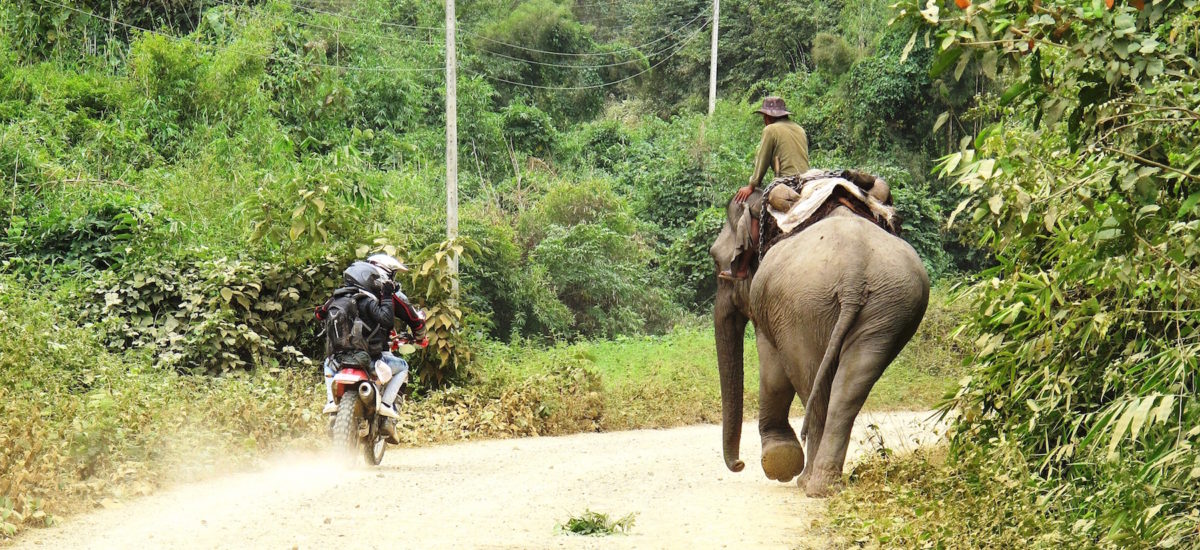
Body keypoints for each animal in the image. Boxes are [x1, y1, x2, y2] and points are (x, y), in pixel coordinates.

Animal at [705, 189, 931, 499]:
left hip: (803, 308)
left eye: (717, 261)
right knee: (848, 388)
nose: (739, 464)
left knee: (810, 380)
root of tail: (853, 275)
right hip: (888, 306)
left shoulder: (770, 307)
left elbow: (772, 372)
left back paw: (809, 482)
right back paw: (824, 484)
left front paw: (779, 461)